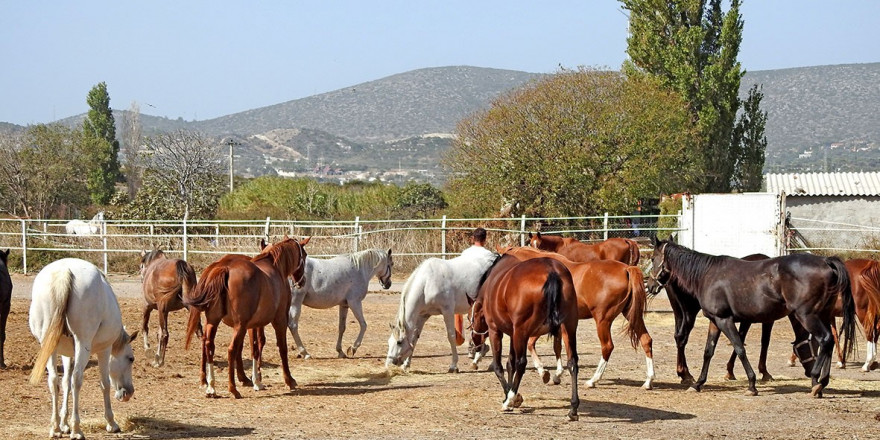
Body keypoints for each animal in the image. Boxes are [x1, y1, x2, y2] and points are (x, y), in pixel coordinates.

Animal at [29, 258, 137, 440]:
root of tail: (64, 271)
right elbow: (104, 383)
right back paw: (77, 430)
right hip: (82, 344)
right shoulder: (104, 350)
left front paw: (64, 423)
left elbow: (65, 382)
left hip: (49, 345)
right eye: (131, 359)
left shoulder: (67, 354)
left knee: (54, 380)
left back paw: (55, 428)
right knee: (77, 379)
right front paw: (111, 423)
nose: (128, 393)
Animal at [184, 237, 308, 398]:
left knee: (209, 345)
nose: (302, 281)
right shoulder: (279, 320)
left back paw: (210, 386)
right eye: (304, 255)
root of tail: (223, 268)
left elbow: (256, 347)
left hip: (213, 321)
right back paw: (233, 388)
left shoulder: (254, 324)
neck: (275, 267)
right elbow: (281, 348)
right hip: (239, 326)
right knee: (231, 349)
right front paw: (289, 379)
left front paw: (257, 381)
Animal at [470, 253, 580, 422]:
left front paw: (511, 398)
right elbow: (510, 363)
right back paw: (573, 409)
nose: (474, 343)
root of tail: (552, 271)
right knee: (572, 362)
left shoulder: (497, 331)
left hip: (522, 331)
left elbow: (500, 366)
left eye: (471, 317)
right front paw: (510, 394)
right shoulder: (512, 332)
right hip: (568, 327)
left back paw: (509, 400)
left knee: (522, 363)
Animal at [502, 246, 652, 390]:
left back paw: (593, 380)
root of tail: (626, 268)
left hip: (603, 320)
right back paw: (648, 381)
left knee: (607, 346)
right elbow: (556, 346)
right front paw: (556, 375)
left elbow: (533, 344)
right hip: (632, 316)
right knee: (646, 340)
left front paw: (545, 372)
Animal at [644, 237, 856, 398]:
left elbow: (740, 348)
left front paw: (752, 384)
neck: (706, 274)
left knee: (826, 339)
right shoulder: (715, 321)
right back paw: (821, 382)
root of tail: (825, 262)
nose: (650, 286)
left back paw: (817, 380)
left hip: (808, 316)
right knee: (829, 342)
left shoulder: (725, 320)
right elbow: (708, 352)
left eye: (653, 259)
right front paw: (698, 383)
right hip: (823, 315)